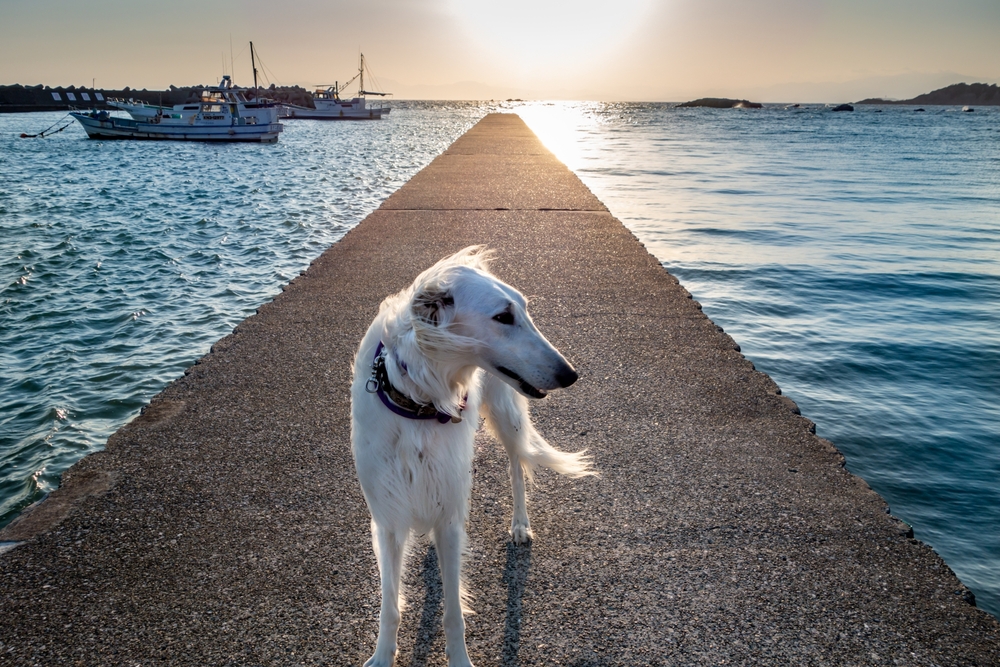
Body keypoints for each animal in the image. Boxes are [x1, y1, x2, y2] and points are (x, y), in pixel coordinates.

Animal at [352, 247, 592, 667]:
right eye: (503, 317)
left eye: (525, 310)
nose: (571, 374)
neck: (418, 400)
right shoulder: (388, 518)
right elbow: (390, 605)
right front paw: (382, 656)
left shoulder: (450, 515)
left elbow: (452, 612)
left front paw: (459, 659)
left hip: (506, 414)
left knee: (516, 468)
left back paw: (519, 525)